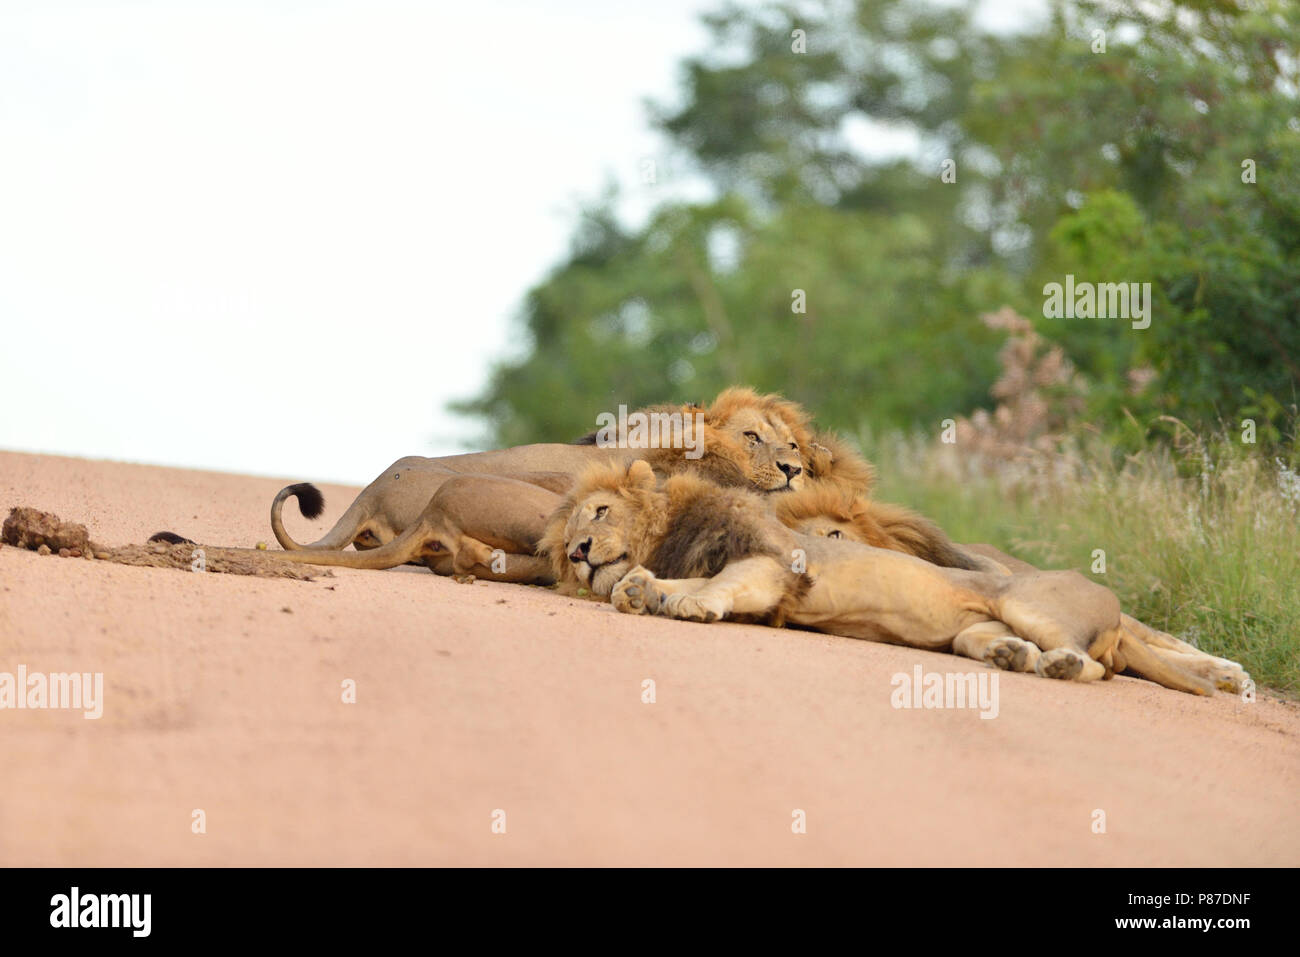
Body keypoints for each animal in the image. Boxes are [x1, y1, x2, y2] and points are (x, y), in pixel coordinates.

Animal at [541, 460, 1215, 694]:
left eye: (598, 513)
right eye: (567, 546)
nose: (578, 551)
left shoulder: (773, 565)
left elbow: (716, 588)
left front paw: (684, 604)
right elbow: (683, 581)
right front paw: (641, 589)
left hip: (1034, 605)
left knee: (1101, 668)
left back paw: (1060, 667)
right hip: (972, 631)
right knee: (1012, 646)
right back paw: (1013, 658)